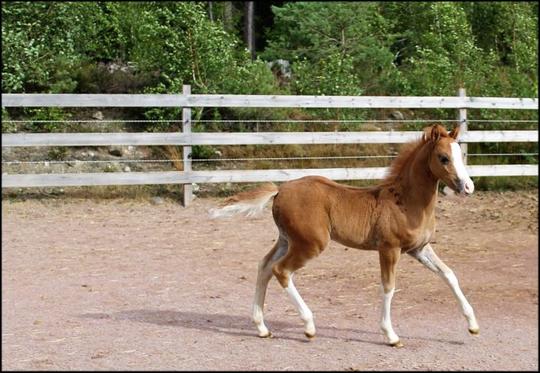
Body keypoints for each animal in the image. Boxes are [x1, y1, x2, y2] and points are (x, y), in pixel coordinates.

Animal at [211, 124, 480, 346]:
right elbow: (388, 287)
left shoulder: (419, 248)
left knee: (265, 266)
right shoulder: (389, 249)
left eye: (461, 156)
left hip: (287, 240)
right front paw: (391, 336)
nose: (468, 187)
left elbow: (449, 275)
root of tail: (280, 190)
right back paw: (309, 326)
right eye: (443, 158)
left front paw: (473, 326)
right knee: (281, 270)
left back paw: (262, 328)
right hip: (310, 244)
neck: (406, 201)